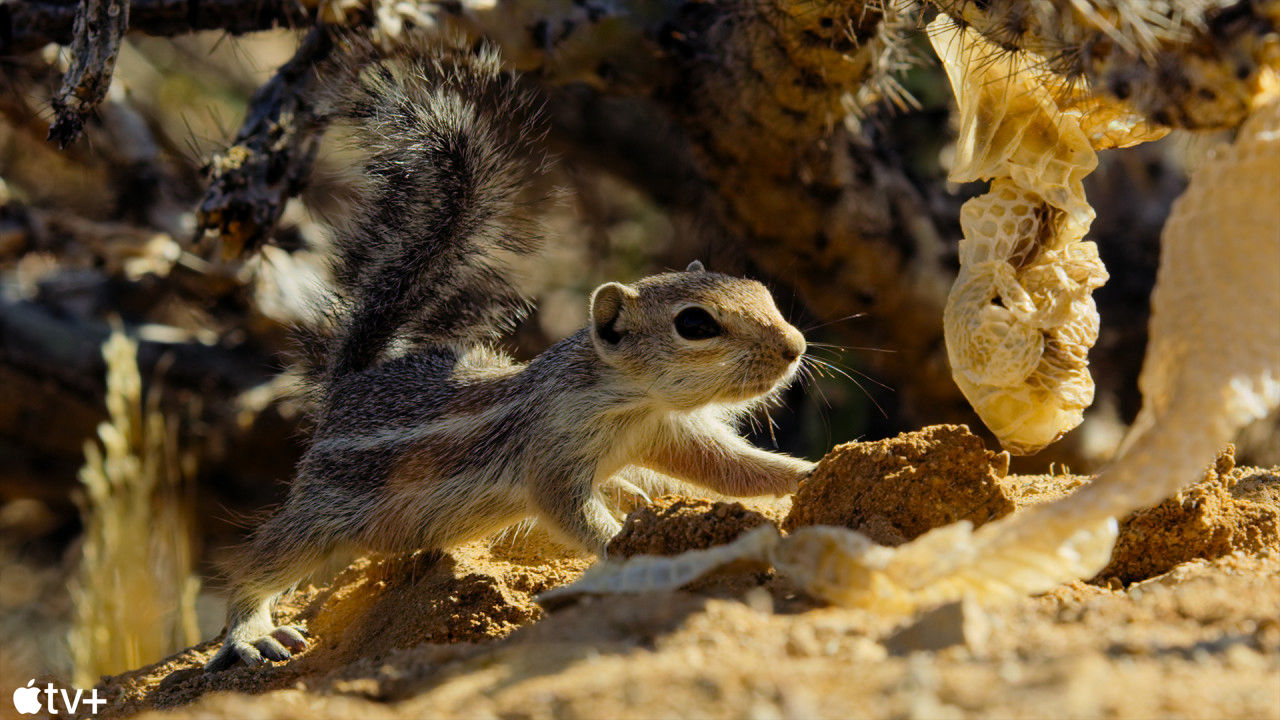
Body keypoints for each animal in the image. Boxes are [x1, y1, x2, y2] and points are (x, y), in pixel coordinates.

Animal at [204, 37, 814, 666]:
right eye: (695, 324)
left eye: (761, 291)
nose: (794, 347)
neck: (635, 401)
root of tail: (346, 386)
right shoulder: (552, 451)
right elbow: (572, 512)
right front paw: (633, 549)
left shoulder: (669, 433)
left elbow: (739, 472)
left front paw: (813, 473)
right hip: (323, 512)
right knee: (261, 562)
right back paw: (252, 632)